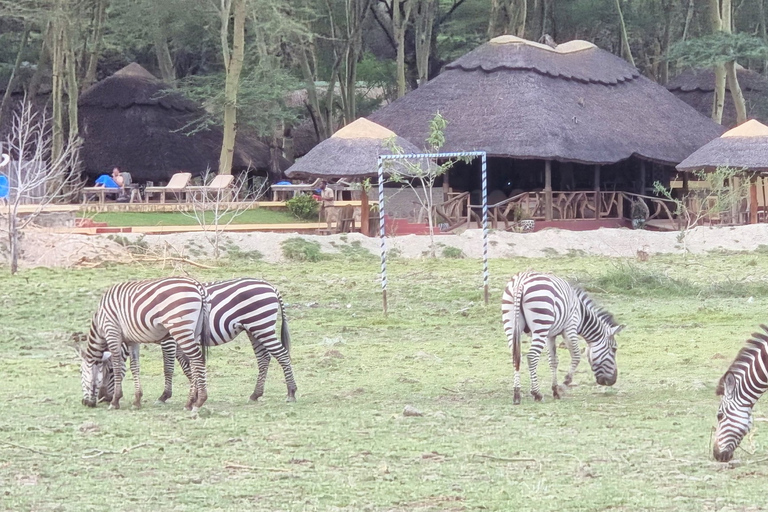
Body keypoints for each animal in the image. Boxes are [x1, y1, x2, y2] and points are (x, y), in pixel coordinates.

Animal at [80, 276, 210, 412]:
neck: (100, 321)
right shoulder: (132, 340)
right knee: (194, 362)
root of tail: (196, 285)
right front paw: (137, 400)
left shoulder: (112, 332)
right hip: (194, 331)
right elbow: (134, 366)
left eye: (82, 374)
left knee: (197, 359)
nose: (85, 403)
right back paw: (191, 402)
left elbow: (117, 366)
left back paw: (199, 401)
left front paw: (115, 401)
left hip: (180, 328)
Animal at [100, 280, 296, 404]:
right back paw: (255, 394)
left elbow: (169, 367)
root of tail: (270, 286)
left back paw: (291, 392)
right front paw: (194, 393)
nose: (103, 398)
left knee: (282, 355)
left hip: (261, 325)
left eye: (109, 371)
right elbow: (189, 366)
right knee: (264, 358)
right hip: (253, 329)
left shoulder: (169, 341)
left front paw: (166, 396)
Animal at [500, 270, 620, 406]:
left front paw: (555, 390)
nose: (613, 381)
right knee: (531, 356)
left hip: (511, 323)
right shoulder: (570, 328)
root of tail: (521, 281)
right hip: (541, 324)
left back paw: (516, 394)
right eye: (614, 349)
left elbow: (553, 361)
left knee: (516, 357)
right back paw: (537, 393)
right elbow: (576, 356)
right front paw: (563, 385)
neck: (581, 314)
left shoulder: (550, 335)